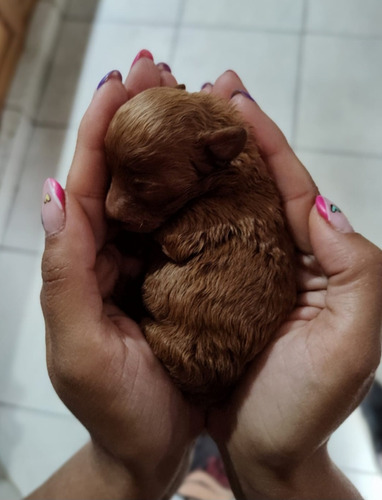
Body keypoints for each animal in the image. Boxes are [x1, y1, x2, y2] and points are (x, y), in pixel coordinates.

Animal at [105, 87, 298, 406]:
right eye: (110, 171)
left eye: (144, 185)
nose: (109, 213)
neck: (224, 174)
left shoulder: (192, 225)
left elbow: (159, 233)